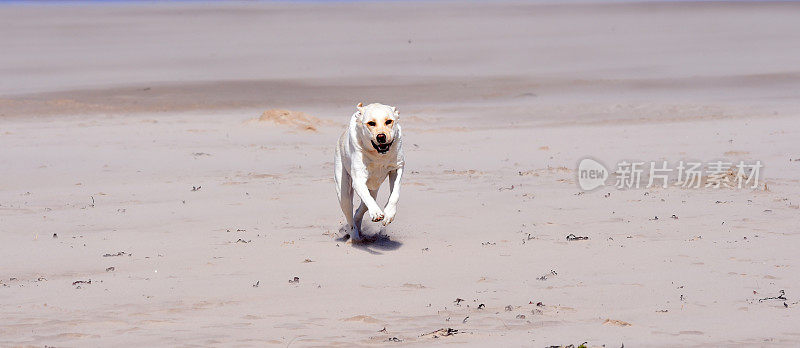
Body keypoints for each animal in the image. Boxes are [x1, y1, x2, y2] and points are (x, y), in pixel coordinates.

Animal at [332, 102, 404, 241]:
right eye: (371, 123)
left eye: (389, 121)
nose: (381, 137)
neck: (378, 155)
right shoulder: (358, 179)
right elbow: (366, 197)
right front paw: (376, 212)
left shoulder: (397, 168)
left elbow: (395, 193)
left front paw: (389, 214)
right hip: (343, 194)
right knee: (350, 216)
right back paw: (355, 237)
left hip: (374, 189)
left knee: (360, 209)